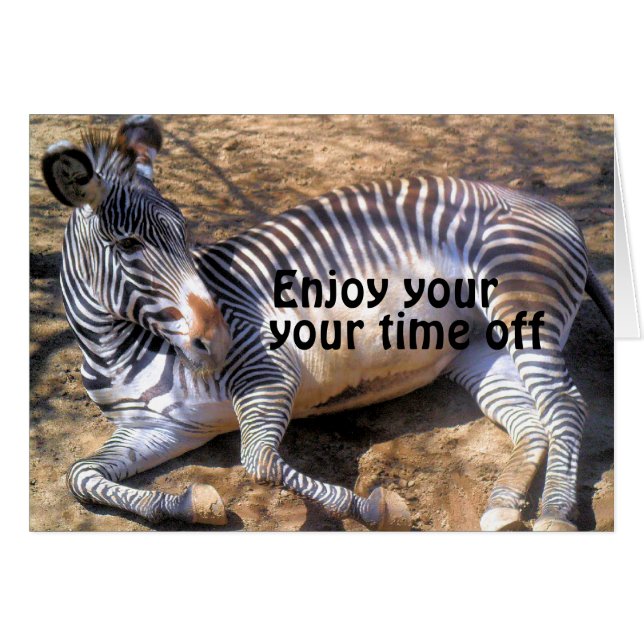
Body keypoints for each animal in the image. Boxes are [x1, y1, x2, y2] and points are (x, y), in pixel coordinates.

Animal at [40, 115, 613, 531]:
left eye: (187, 233)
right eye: (127, 246)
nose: (220, 339)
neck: (117, 350)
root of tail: (541, 202)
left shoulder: (268, 376)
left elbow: (258, 461)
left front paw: (376, 509)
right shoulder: (160, 428)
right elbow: (79, 475)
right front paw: (185, 504)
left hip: (520, 296)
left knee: (564, 404)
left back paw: (555, 515)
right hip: (480, 352)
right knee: (532, 422)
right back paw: (504, 505)